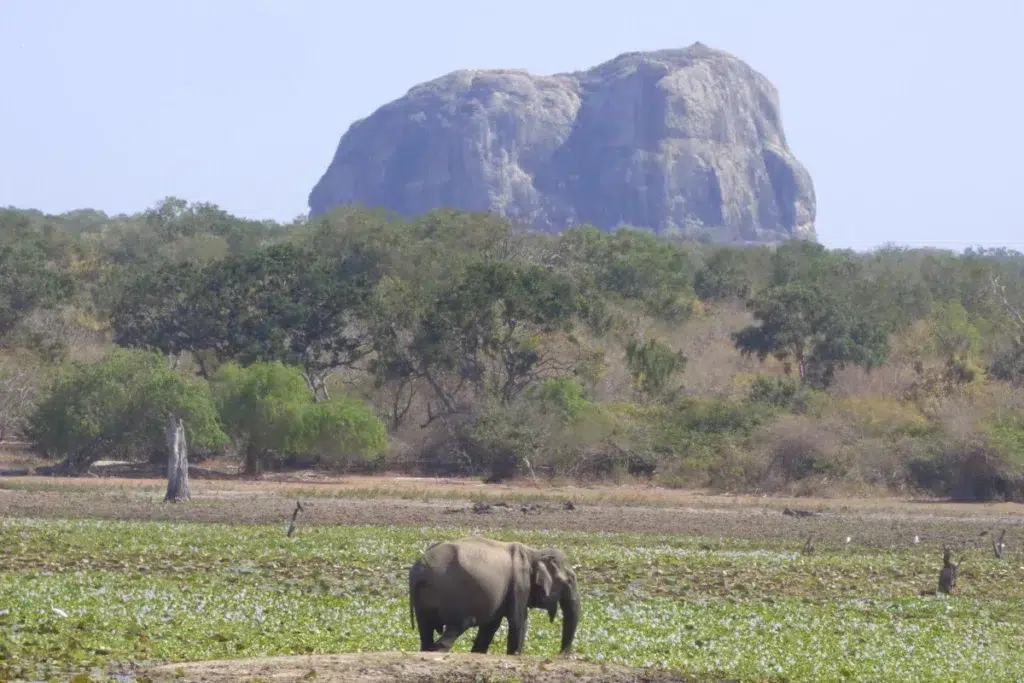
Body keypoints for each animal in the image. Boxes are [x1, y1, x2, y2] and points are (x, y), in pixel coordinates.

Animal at [408, 536, 581, 656]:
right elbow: (518, 621)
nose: (561, 655)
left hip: (422, 601)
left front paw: (478, 653)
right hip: (453, 596)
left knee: (426, 628)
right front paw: (514, 655)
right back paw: (437, 650)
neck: (534, 553)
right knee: (461, 623)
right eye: (570, 580)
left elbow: (491, 625)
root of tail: (419, 568)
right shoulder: (519, 584)